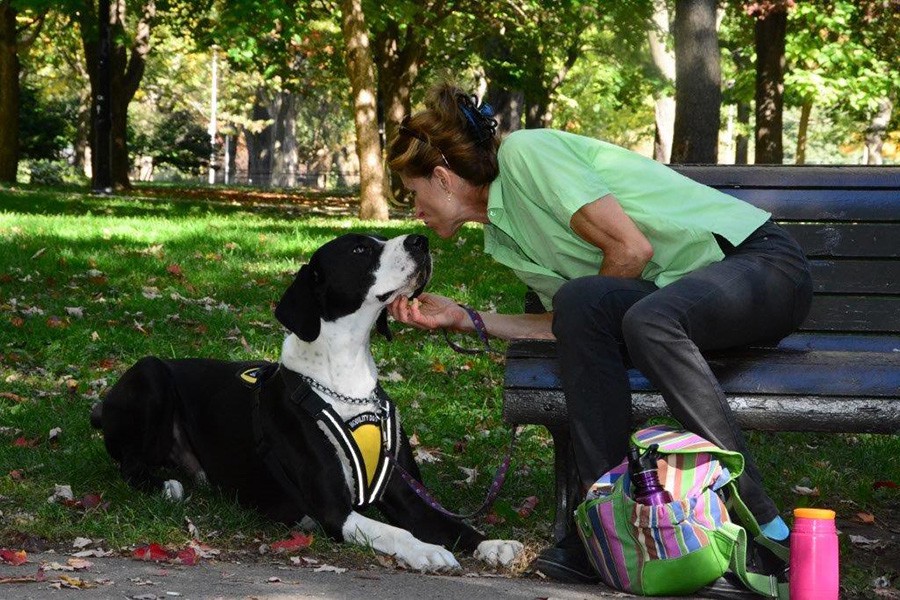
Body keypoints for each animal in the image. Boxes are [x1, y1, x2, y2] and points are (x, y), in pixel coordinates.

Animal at [90, 234, 520, 572]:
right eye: (360, 248)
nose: (421, 240)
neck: (345, 377)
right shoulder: (333, 510)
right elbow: (394, 531)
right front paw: (427, 551)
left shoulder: (405, 496)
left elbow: (453, 524)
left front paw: (493, 544)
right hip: (150, 373)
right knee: (129, 463)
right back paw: (164, 485)